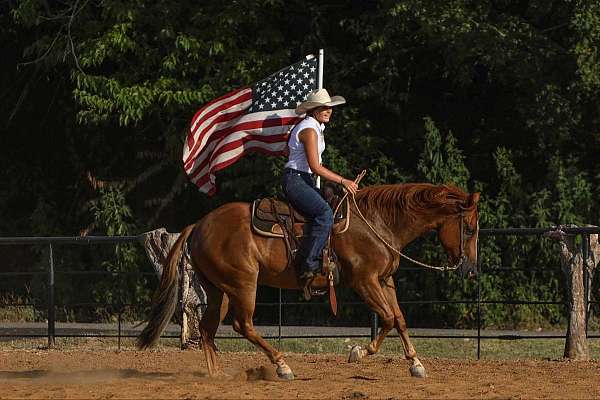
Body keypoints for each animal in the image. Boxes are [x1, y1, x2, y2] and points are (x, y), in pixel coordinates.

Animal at [136, 183, 478, 380]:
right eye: (471, 229)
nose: (470, 269)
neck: (377, 223)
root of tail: (199, 224)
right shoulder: (364, 281)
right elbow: (388, 318)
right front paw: (358, 352)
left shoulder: (385, 280)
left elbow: (400, 319)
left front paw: (416, 364)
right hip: (243, 285)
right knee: (242, 325)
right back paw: (281, 365)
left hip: (219, 289)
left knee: (208, 330)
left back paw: (217, 375)